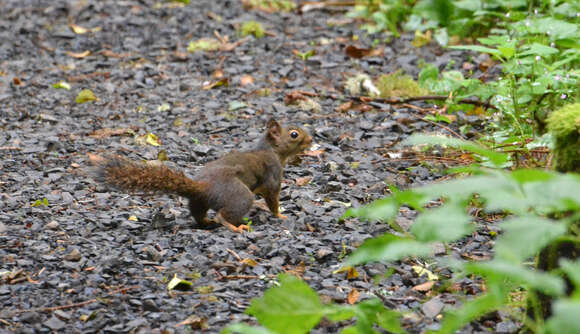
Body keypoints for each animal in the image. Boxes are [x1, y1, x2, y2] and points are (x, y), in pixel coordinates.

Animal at [89, 119, 312, 232]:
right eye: (294, 135)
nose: (311, 139)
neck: (271, 150)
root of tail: (203, 187)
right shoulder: (273, 173)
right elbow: (272, 198)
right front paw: (280, 215)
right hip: (239, 195)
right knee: (223, 214)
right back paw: (234, 226)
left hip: (198, 202)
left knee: (198, 214)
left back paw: (206, 222)